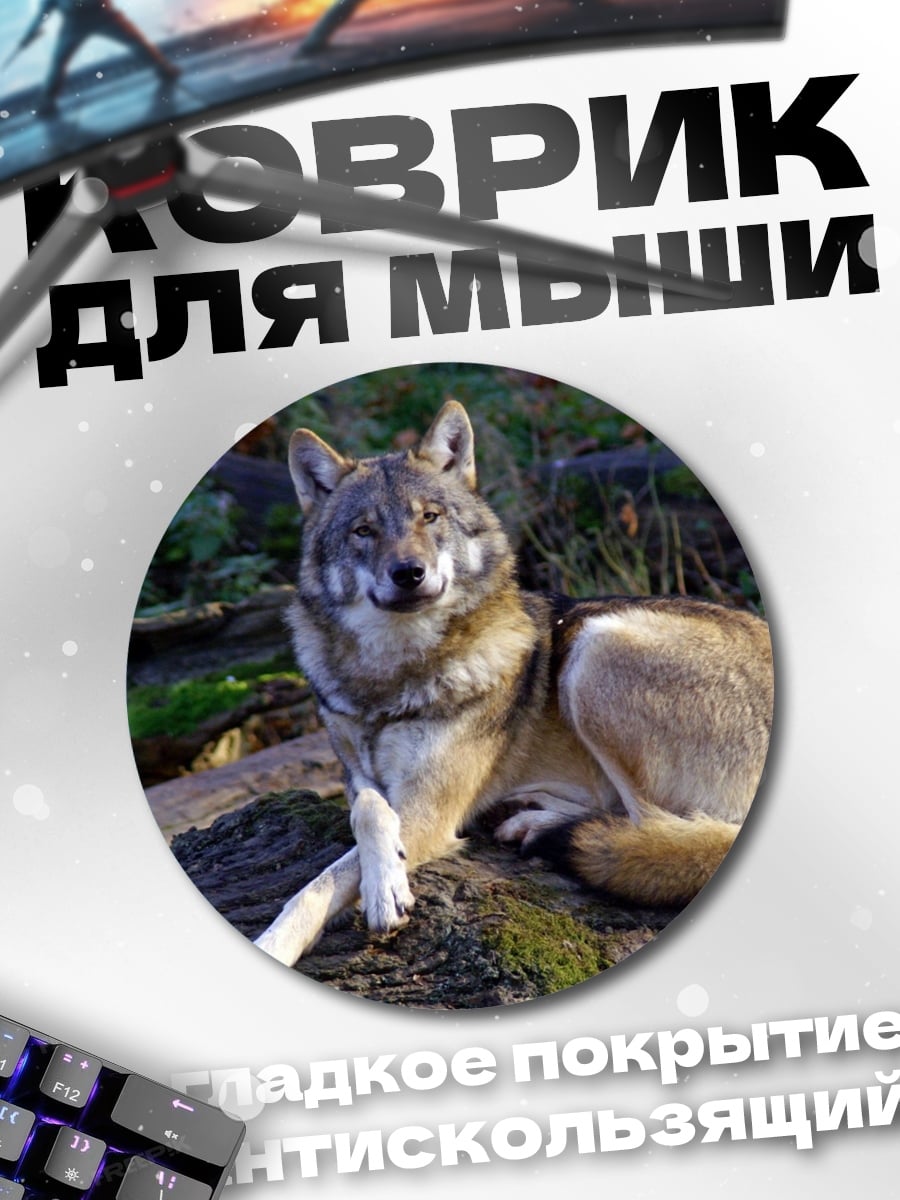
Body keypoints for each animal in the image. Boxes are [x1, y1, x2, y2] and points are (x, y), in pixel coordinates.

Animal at [254, 400, 773, 967]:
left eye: (429, 517)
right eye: (364, 531)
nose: (408, 573)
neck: (389, 675)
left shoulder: (430, 809)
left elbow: (323, 881)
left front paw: (360, 901)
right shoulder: (360, 779)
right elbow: (368, 812)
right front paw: (378, 878)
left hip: (595, 648)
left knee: (656, 830)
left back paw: (541, 826)